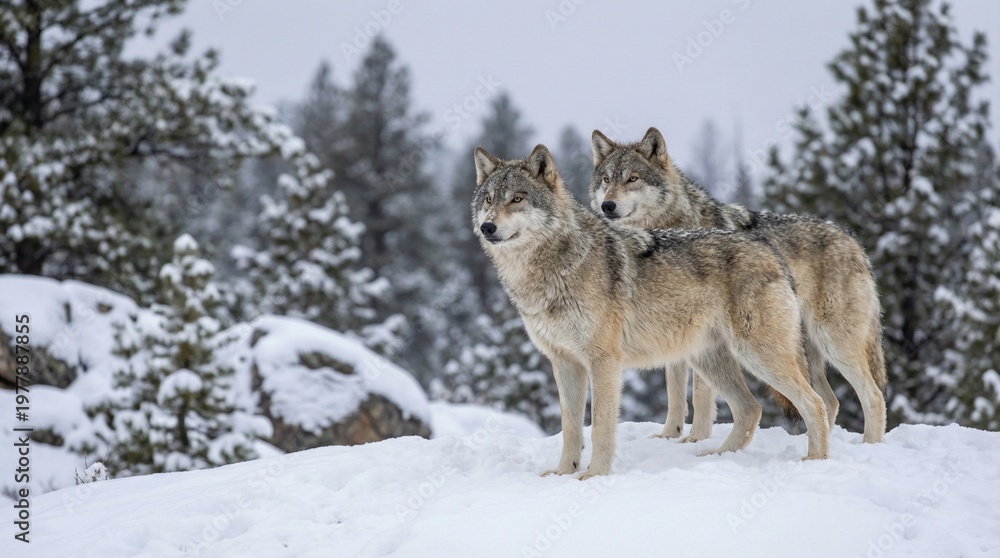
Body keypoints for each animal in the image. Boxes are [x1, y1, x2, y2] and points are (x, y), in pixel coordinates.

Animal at [472, 144, 830, 479]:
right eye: (488, 199)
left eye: (517, 199)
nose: (487, 227)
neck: (555, 267)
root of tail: (768, 250)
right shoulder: (563, 362)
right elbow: (570, 427)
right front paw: (563, 472)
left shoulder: (603, 361)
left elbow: (599, 426)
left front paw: (595, 475)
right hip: (709, 360)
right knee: (750, 409)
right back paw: (716, 457)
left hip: (757, 355)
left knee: (815, 403)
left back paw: (816, 460)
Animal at [589, 127, 887, 444]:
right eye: (606, 180)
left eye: (632, 178)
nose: (607, 206)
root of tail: (853, 240)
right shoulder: (676, 335)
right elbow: (674, 392)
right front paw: (670, 435)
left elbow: (700, 396)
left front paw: (697, 438)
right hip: (803, 347)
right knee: (829, 400)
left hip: (832, 341)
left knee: (872, 395)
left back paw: (867, 445)